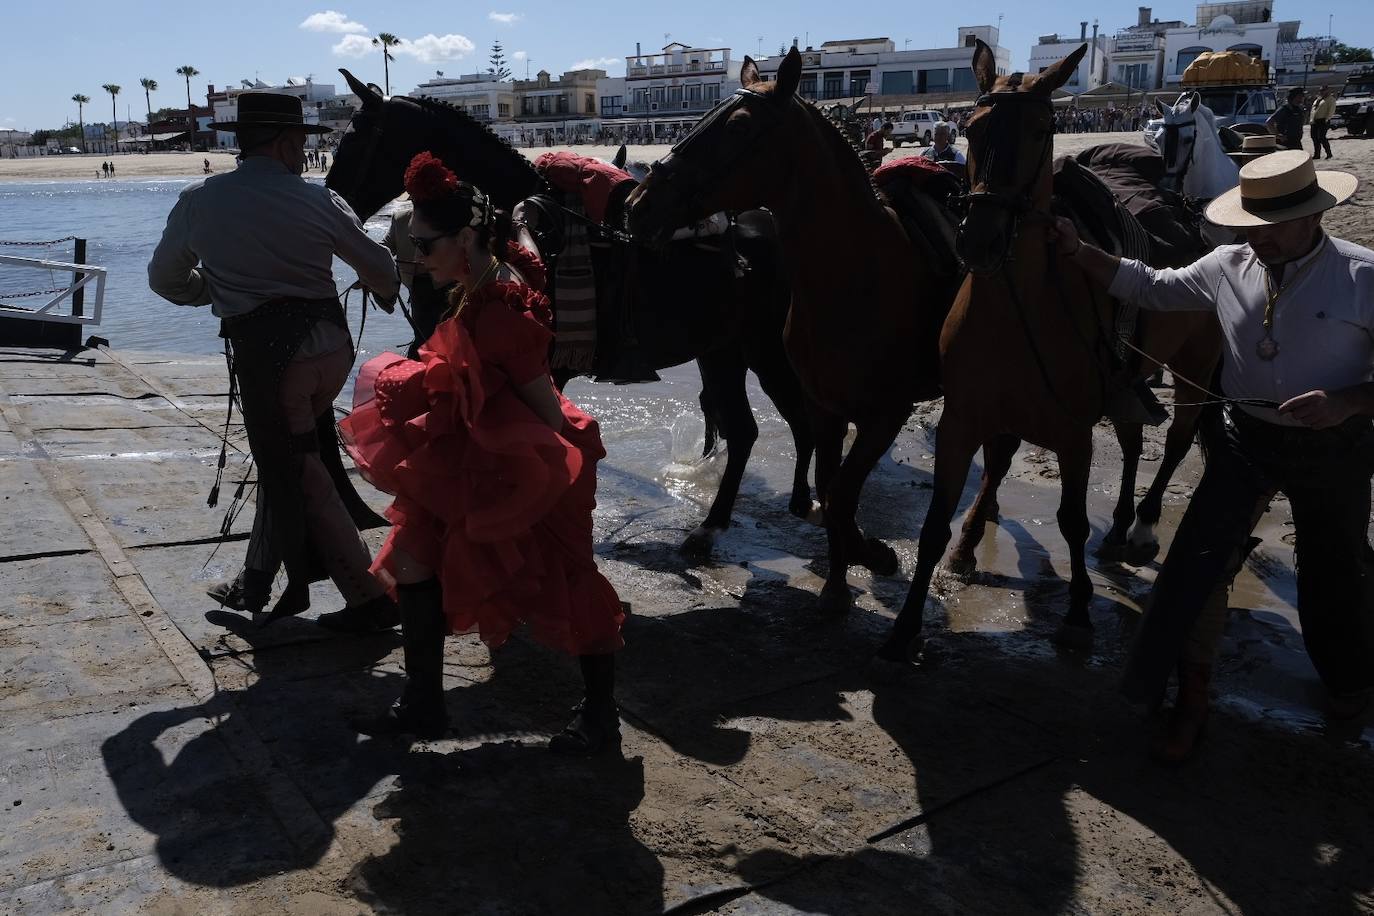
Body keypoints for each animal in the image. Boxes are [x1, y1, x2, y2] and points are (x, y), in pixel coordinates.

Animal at [324, 70, 813, 552]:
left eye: (354, 137)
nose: (331, 200)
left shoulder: (544, 368)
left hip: (762, 347)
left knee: (791, 413)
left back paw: (781, 507)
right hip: (721, 351)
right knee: (745, 428)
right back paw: (719, 522)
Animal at [629, 46, 950, 612]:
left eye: (737, 126)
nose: (639, 204)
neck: (859, 273)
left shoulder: (887, 411)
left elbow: (841, 489)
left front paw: (867, 556)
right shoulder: (822, 400)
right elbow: (833, 482)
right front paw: (844, 571)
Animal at [879, 42, 1214, 661]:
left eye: (1041, 129)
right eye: (973, 128)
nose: (980, 240)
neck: (1016, 306)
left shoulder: (1073, 432)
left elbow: (1072, 521)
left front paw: (1079, 614)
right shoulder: (963, 420)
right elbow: (937, 521)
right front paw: (907, 623)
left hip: (1194, 365)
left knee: (1177, 442)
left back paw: (1143, 527)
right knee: (1132, 442)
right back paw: (1116, 527)